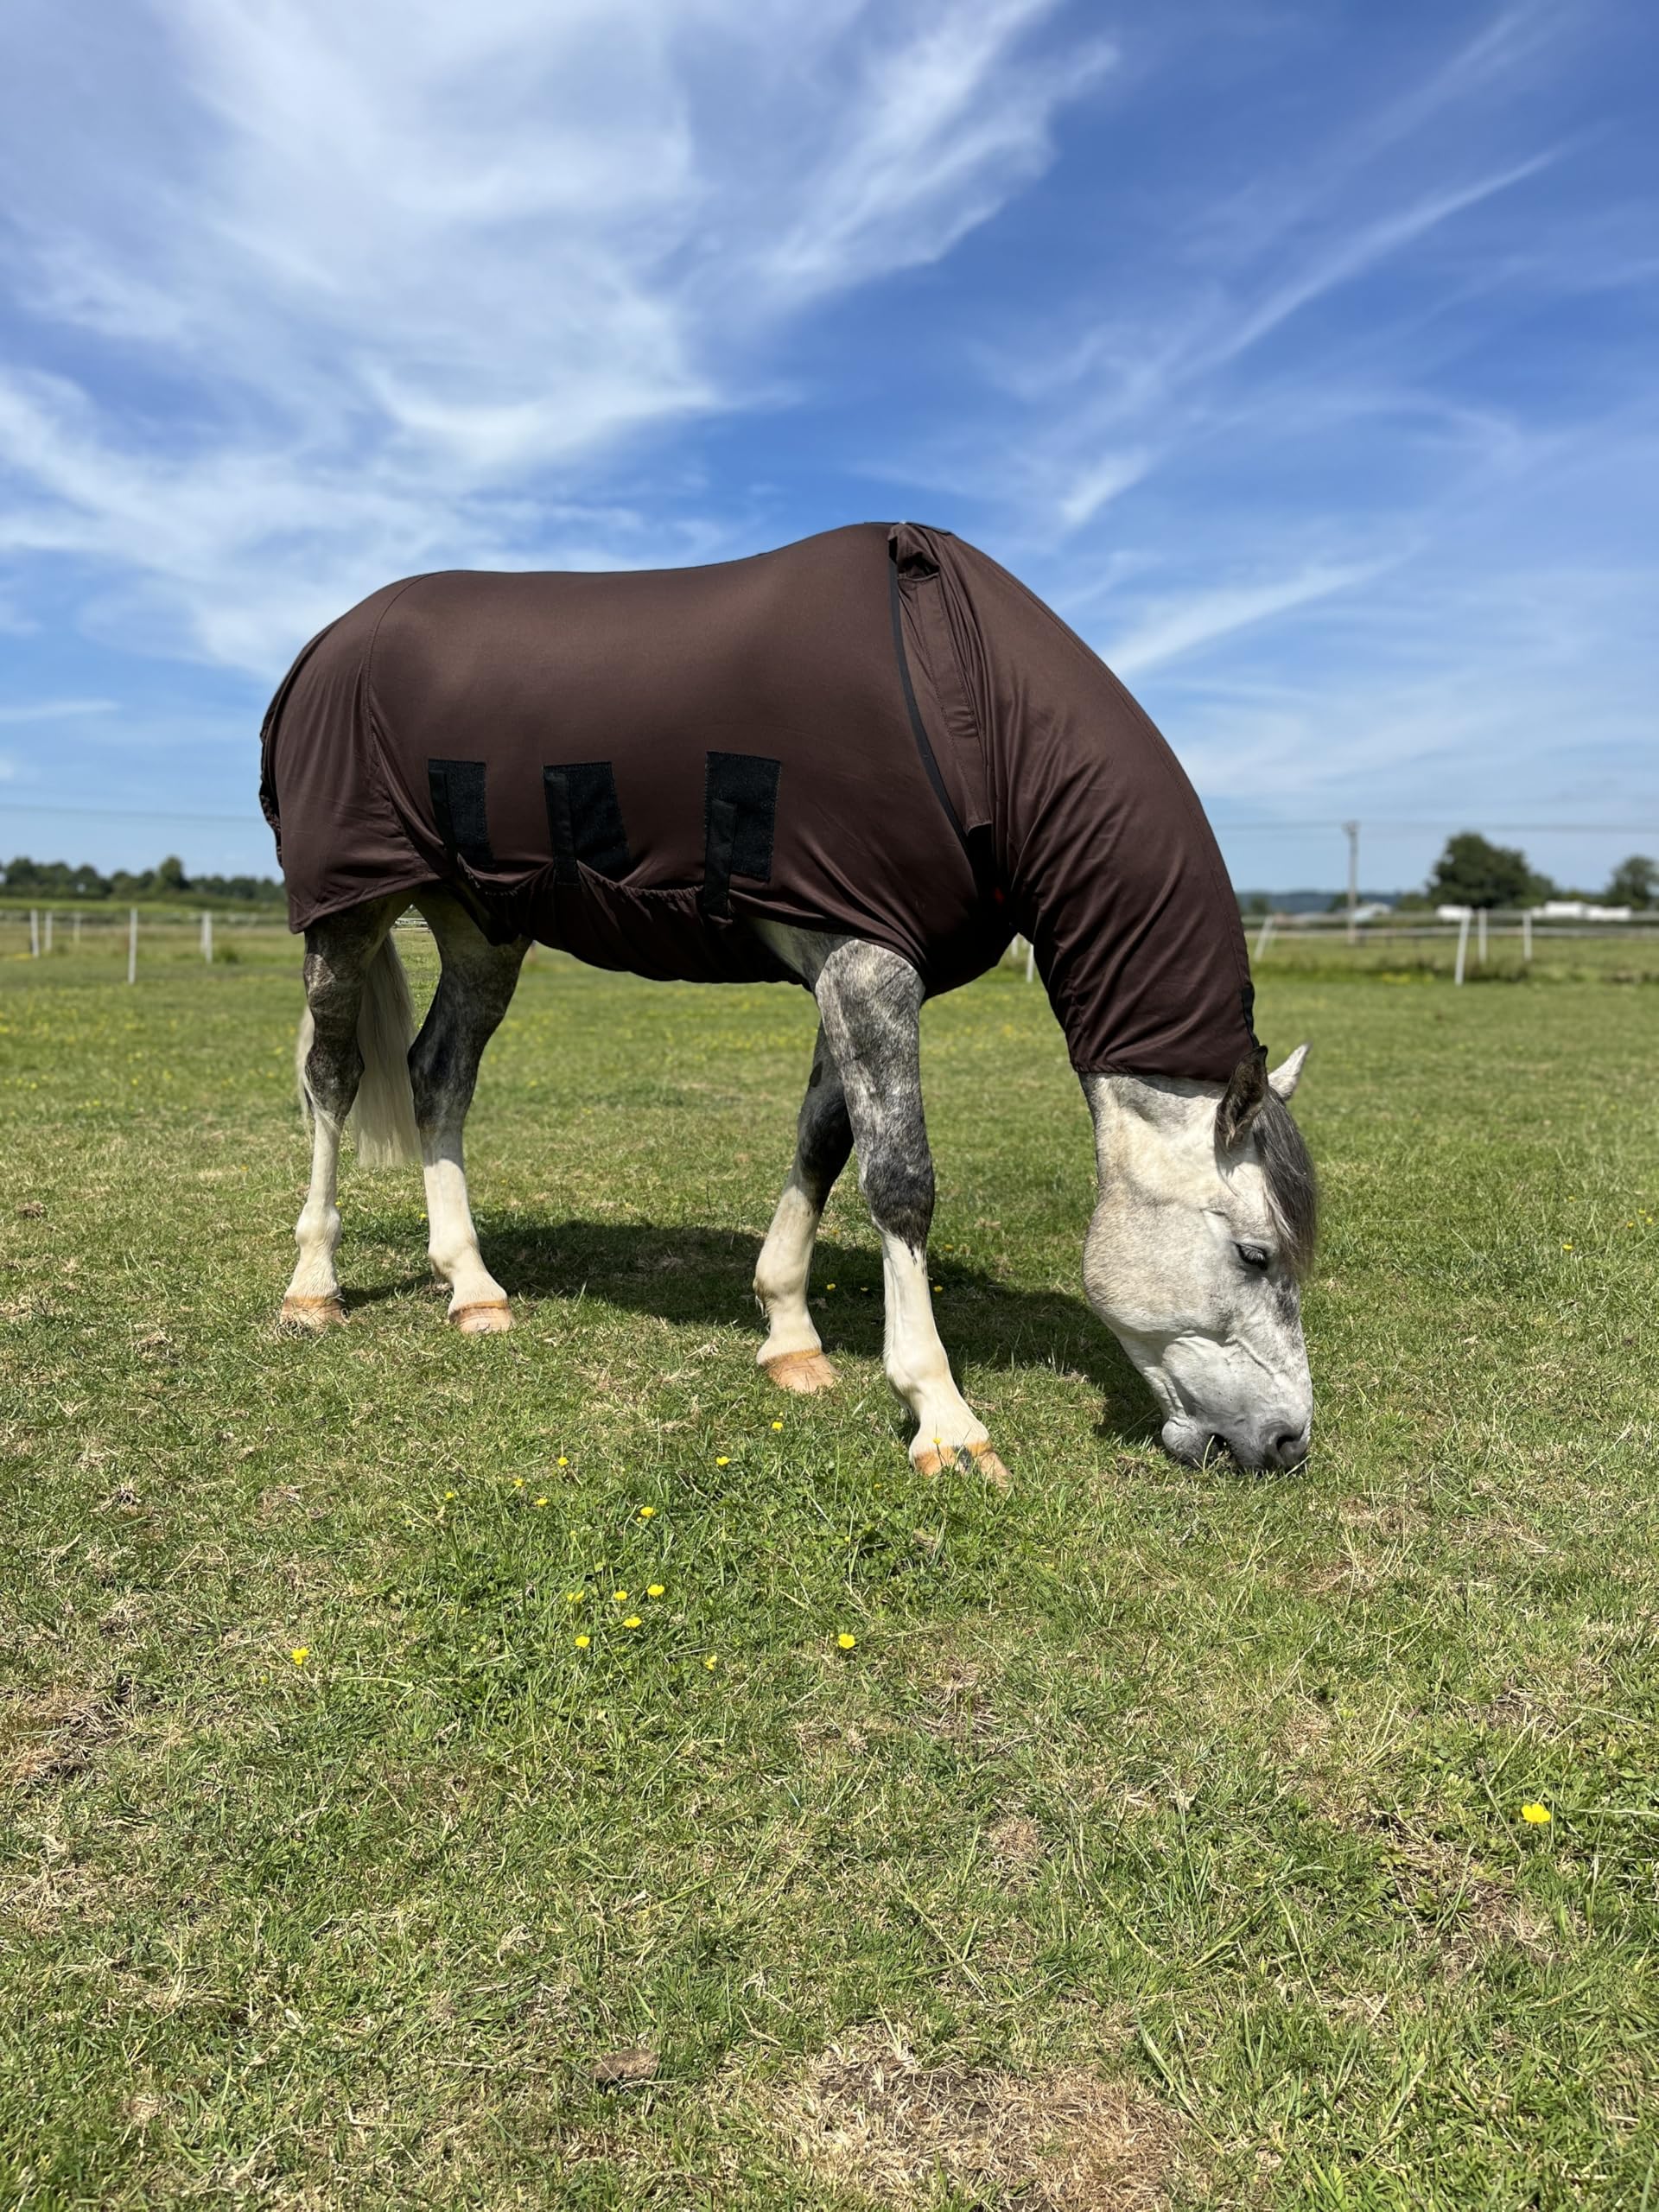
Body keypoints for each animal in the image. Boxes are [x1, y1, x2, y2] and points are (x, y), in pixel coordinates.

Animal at [260, 522, 1316, 1477]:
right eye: (1256, 1255)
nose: (1286, 1442)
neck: (966, 701)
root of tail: (328, 645)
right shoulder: (868, 963)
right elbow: (900, 1181)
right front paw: (943, 1417)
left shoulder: (852, 964)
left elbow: (822, 1145)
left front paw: (790, 1337)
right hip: (349, 913)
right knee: (333, 1078)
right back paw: (313, 1287)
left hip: (483, 926)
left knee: (439, 1075)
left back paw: (473, 1288)